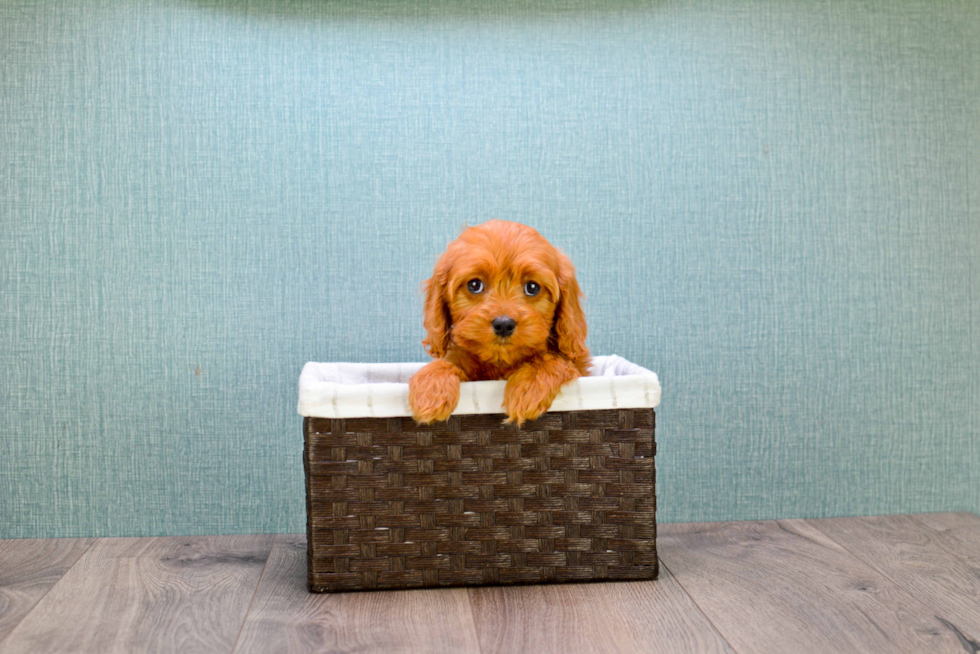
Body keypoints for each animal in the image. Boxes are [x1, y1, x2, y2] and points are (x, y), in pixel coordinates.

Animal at [408, 222, 584, 426]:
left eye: (532, 287)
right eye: (474, 285)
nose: (504, 324)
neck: (499, 362)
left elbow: (553, 360)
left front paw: (529, 387)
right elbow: (445, 363)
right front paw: (430, 390)